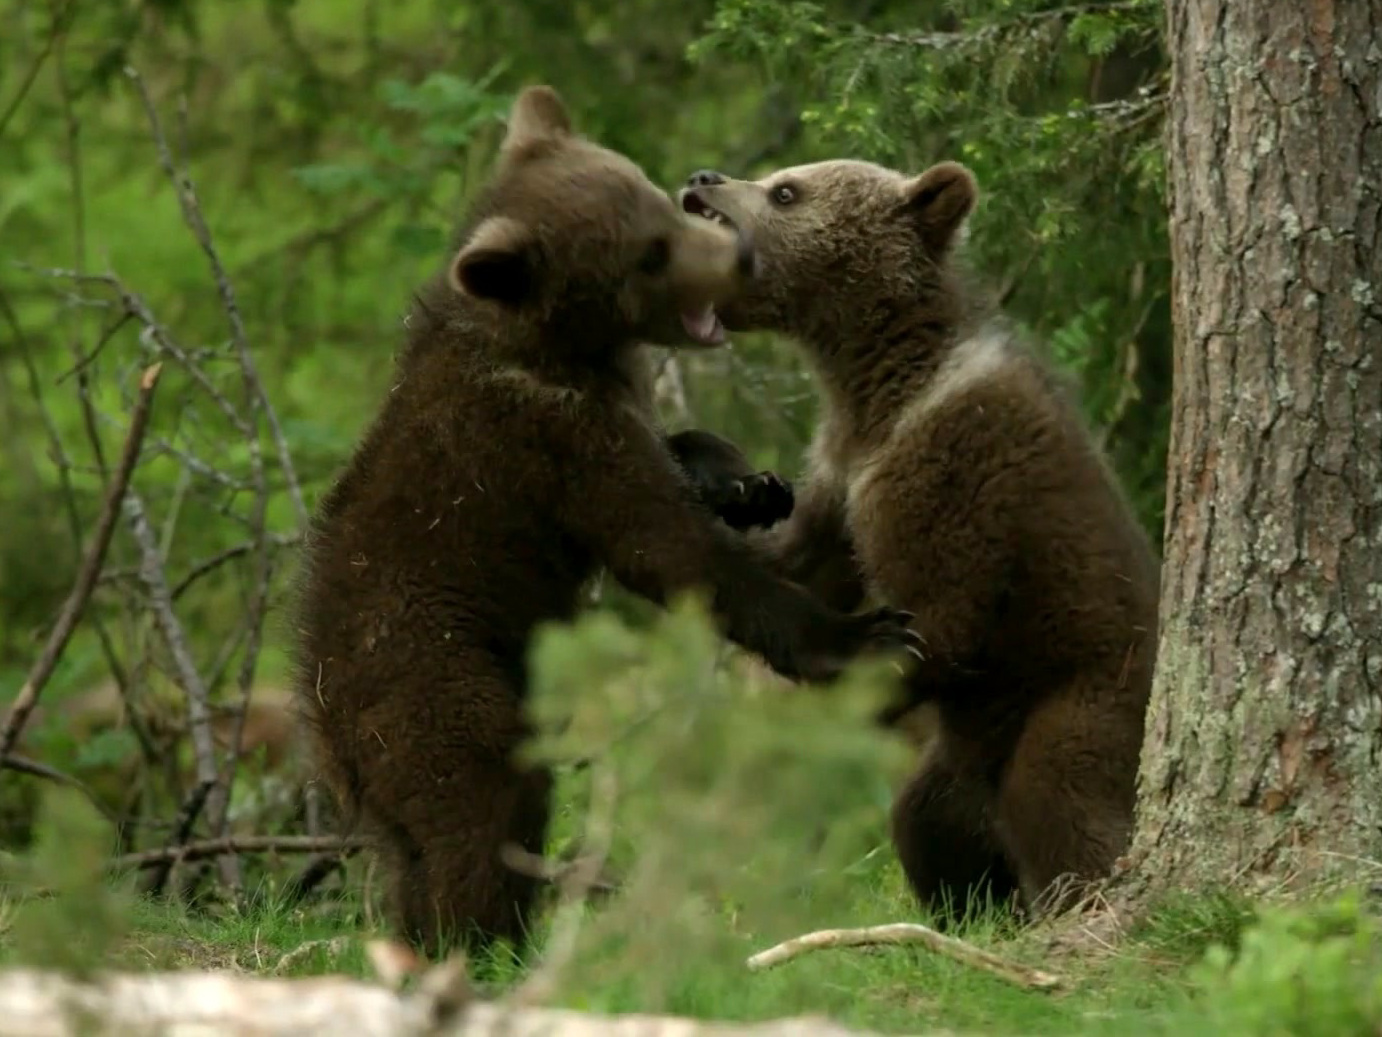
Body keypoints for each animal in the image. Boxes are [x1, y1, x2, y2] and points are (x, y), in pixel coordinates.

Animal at [291, 87, 923, 958]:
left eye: (658, 201)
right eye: (648, 254)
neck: (565, 347)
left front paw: (750, 483)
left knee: (414, 851)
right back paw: (487, 942)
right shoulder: (553, 443)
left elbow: (678, 459)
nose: (741, 258)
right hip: (437, 681)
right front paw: (871, 633)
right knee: (482, 807)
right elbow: (673, 549)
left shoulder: (612, 405)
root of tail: (322, 723)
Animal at [676, 159, 1160, 923]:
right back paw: (979, 906)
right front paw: (725, 481)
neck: (879, 385)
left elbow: (942, 616)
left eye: (786, 189)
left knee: (1060, 799)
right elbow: (797, 567)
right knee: (929, 822)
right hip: (965, 757)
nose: (703, 177)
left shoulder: (950, 474)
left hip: (1082, 697)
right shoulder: (841, 472)